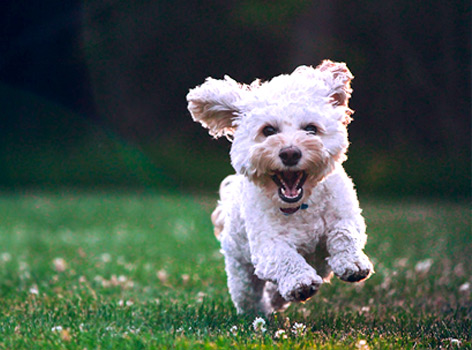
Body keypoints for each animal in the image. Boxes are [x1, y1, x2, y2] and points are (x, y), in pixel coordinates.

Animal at [186, 59, 374, 314]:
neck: (301, 206)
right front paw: (300, 282)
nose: (290, 153)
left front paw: (353, 264)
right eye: (268, 130)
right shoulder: (267, 245)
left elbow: (344, 233)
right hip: (240, 268)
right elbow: (285, 256)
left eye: (311, 129)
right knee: (248, 294)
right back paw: (261, 311)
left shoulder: (346, 215)